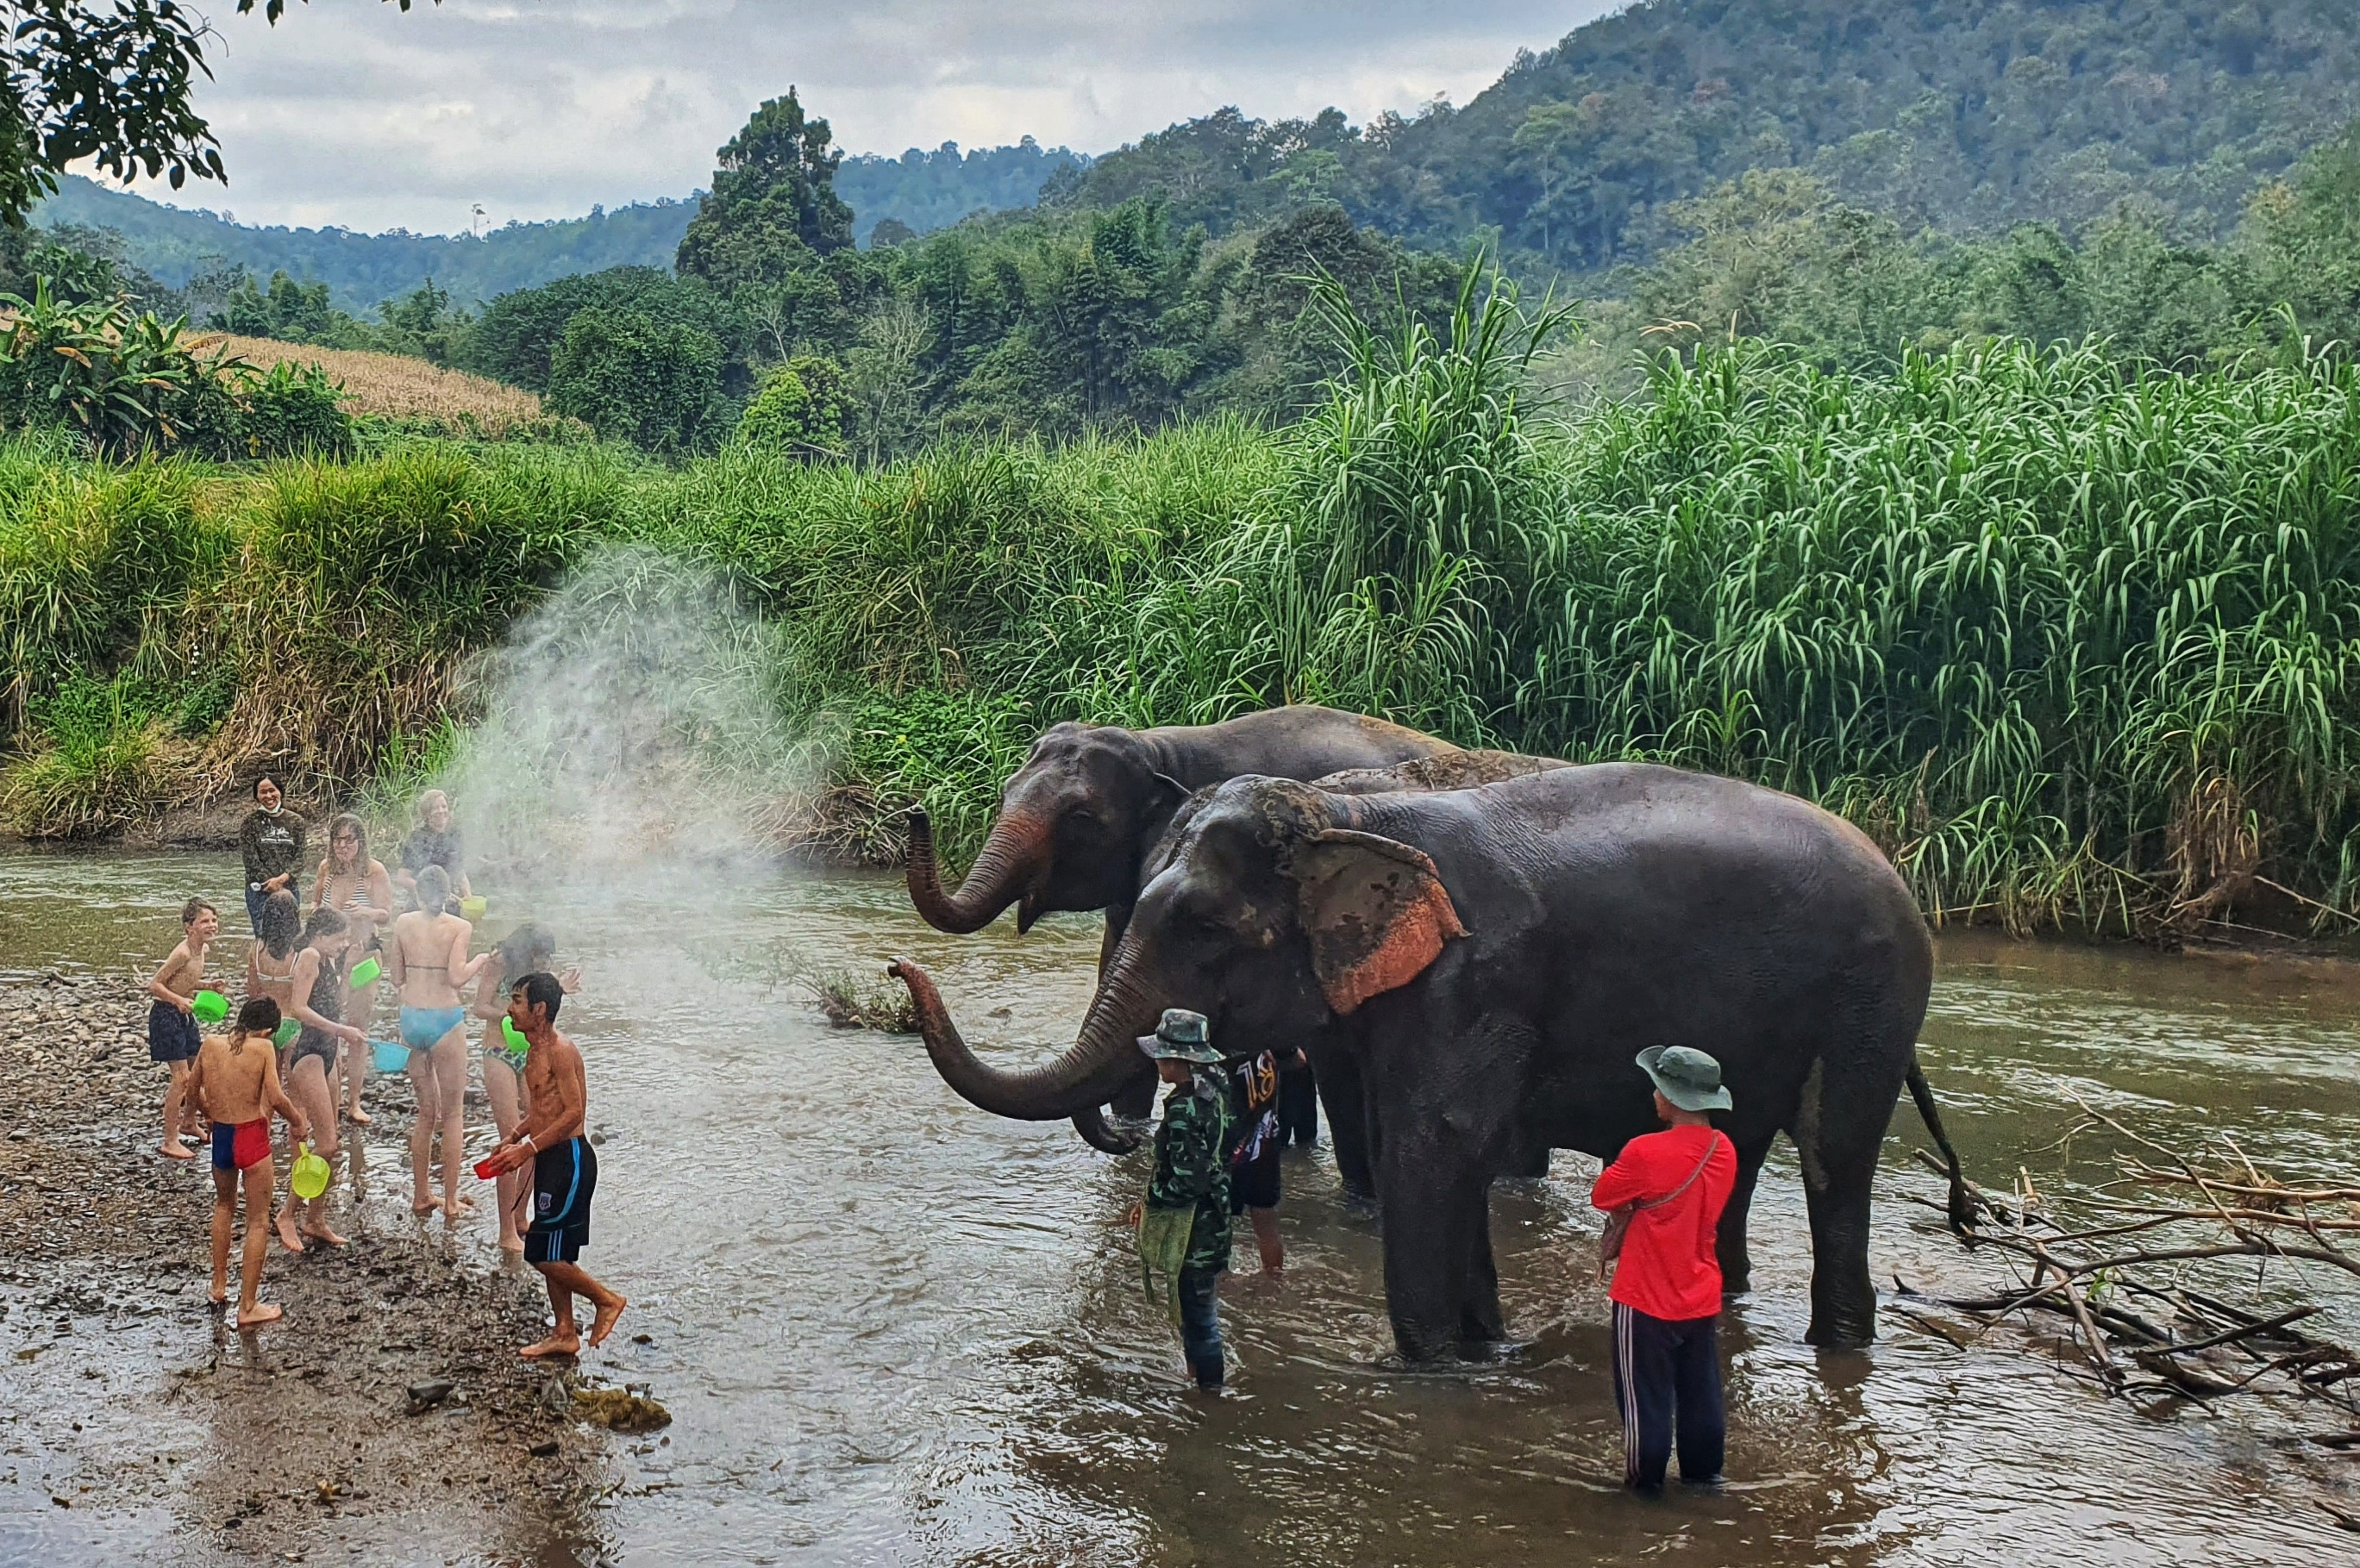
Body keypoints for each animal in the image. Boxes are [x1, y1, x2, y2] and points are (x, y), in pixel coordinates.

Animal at [892, 759, 1944, 1358]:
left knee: (1834, 1162)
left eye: (1203, 928)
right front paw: (1488, 1350)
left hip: (1874, 997)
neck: (1358, 817)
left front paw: (1431, 1367)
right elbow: (1449, 1164)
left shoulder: (1471, 982)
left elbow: (1434, 1149)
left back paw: (1840, 1342)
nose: (901, 969)